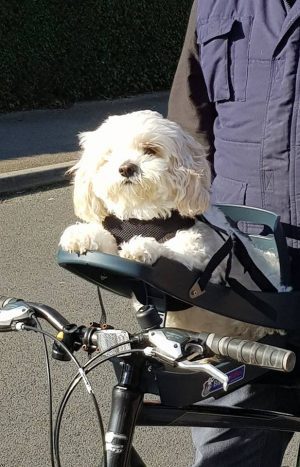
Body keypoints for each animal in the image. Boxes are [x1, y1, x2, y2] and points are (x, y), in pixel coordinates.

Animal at [60, 112, 282, 342]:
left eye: (150, 149)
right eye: (110, 155)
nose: (126, 168)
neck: (145, 216)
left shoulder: (201, 255)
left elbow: (174, 252)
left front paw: (142, 248)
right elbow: (107, 239)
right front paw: (81, 234)